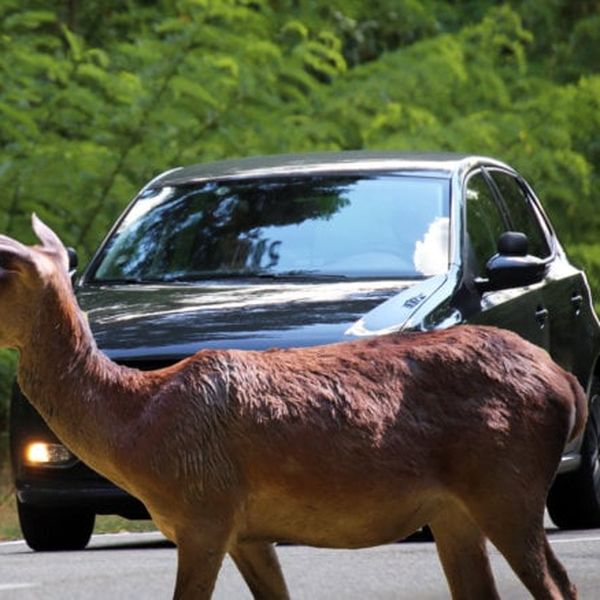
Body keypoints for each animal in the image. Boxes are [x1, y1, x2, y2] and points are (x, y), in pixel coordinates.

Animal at [0, 216, 584, 600]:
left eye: (3, 269)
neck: (139, 429)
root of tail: (566, 382)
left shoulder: (204, 509)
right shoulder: (248, 530)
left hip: (507, 482)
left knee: (558, 586)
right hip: (456, 511)